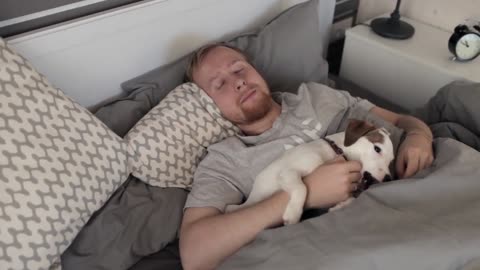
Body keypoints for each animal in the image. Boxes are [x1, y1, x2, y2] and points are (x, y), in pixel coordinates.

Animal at [225, 119, 394, 225]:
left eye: (391, 160)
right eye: (377, 149)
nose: (388, 178)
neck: (335, 150)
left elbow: (351, 199)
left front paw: (341, 205)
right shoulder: (288, 173)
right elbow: (302, 188)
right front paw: (293, 214)